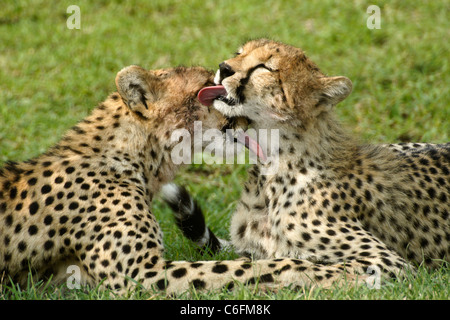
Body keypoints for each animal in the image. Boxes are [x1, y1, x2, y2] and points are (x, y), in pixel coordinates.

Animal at [0, 63, 346, 296]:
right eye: (209, 89)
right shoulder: (140, 276)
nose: (250, 117)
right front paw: (333, 273)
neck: (138, 155)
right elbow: (243, 269)